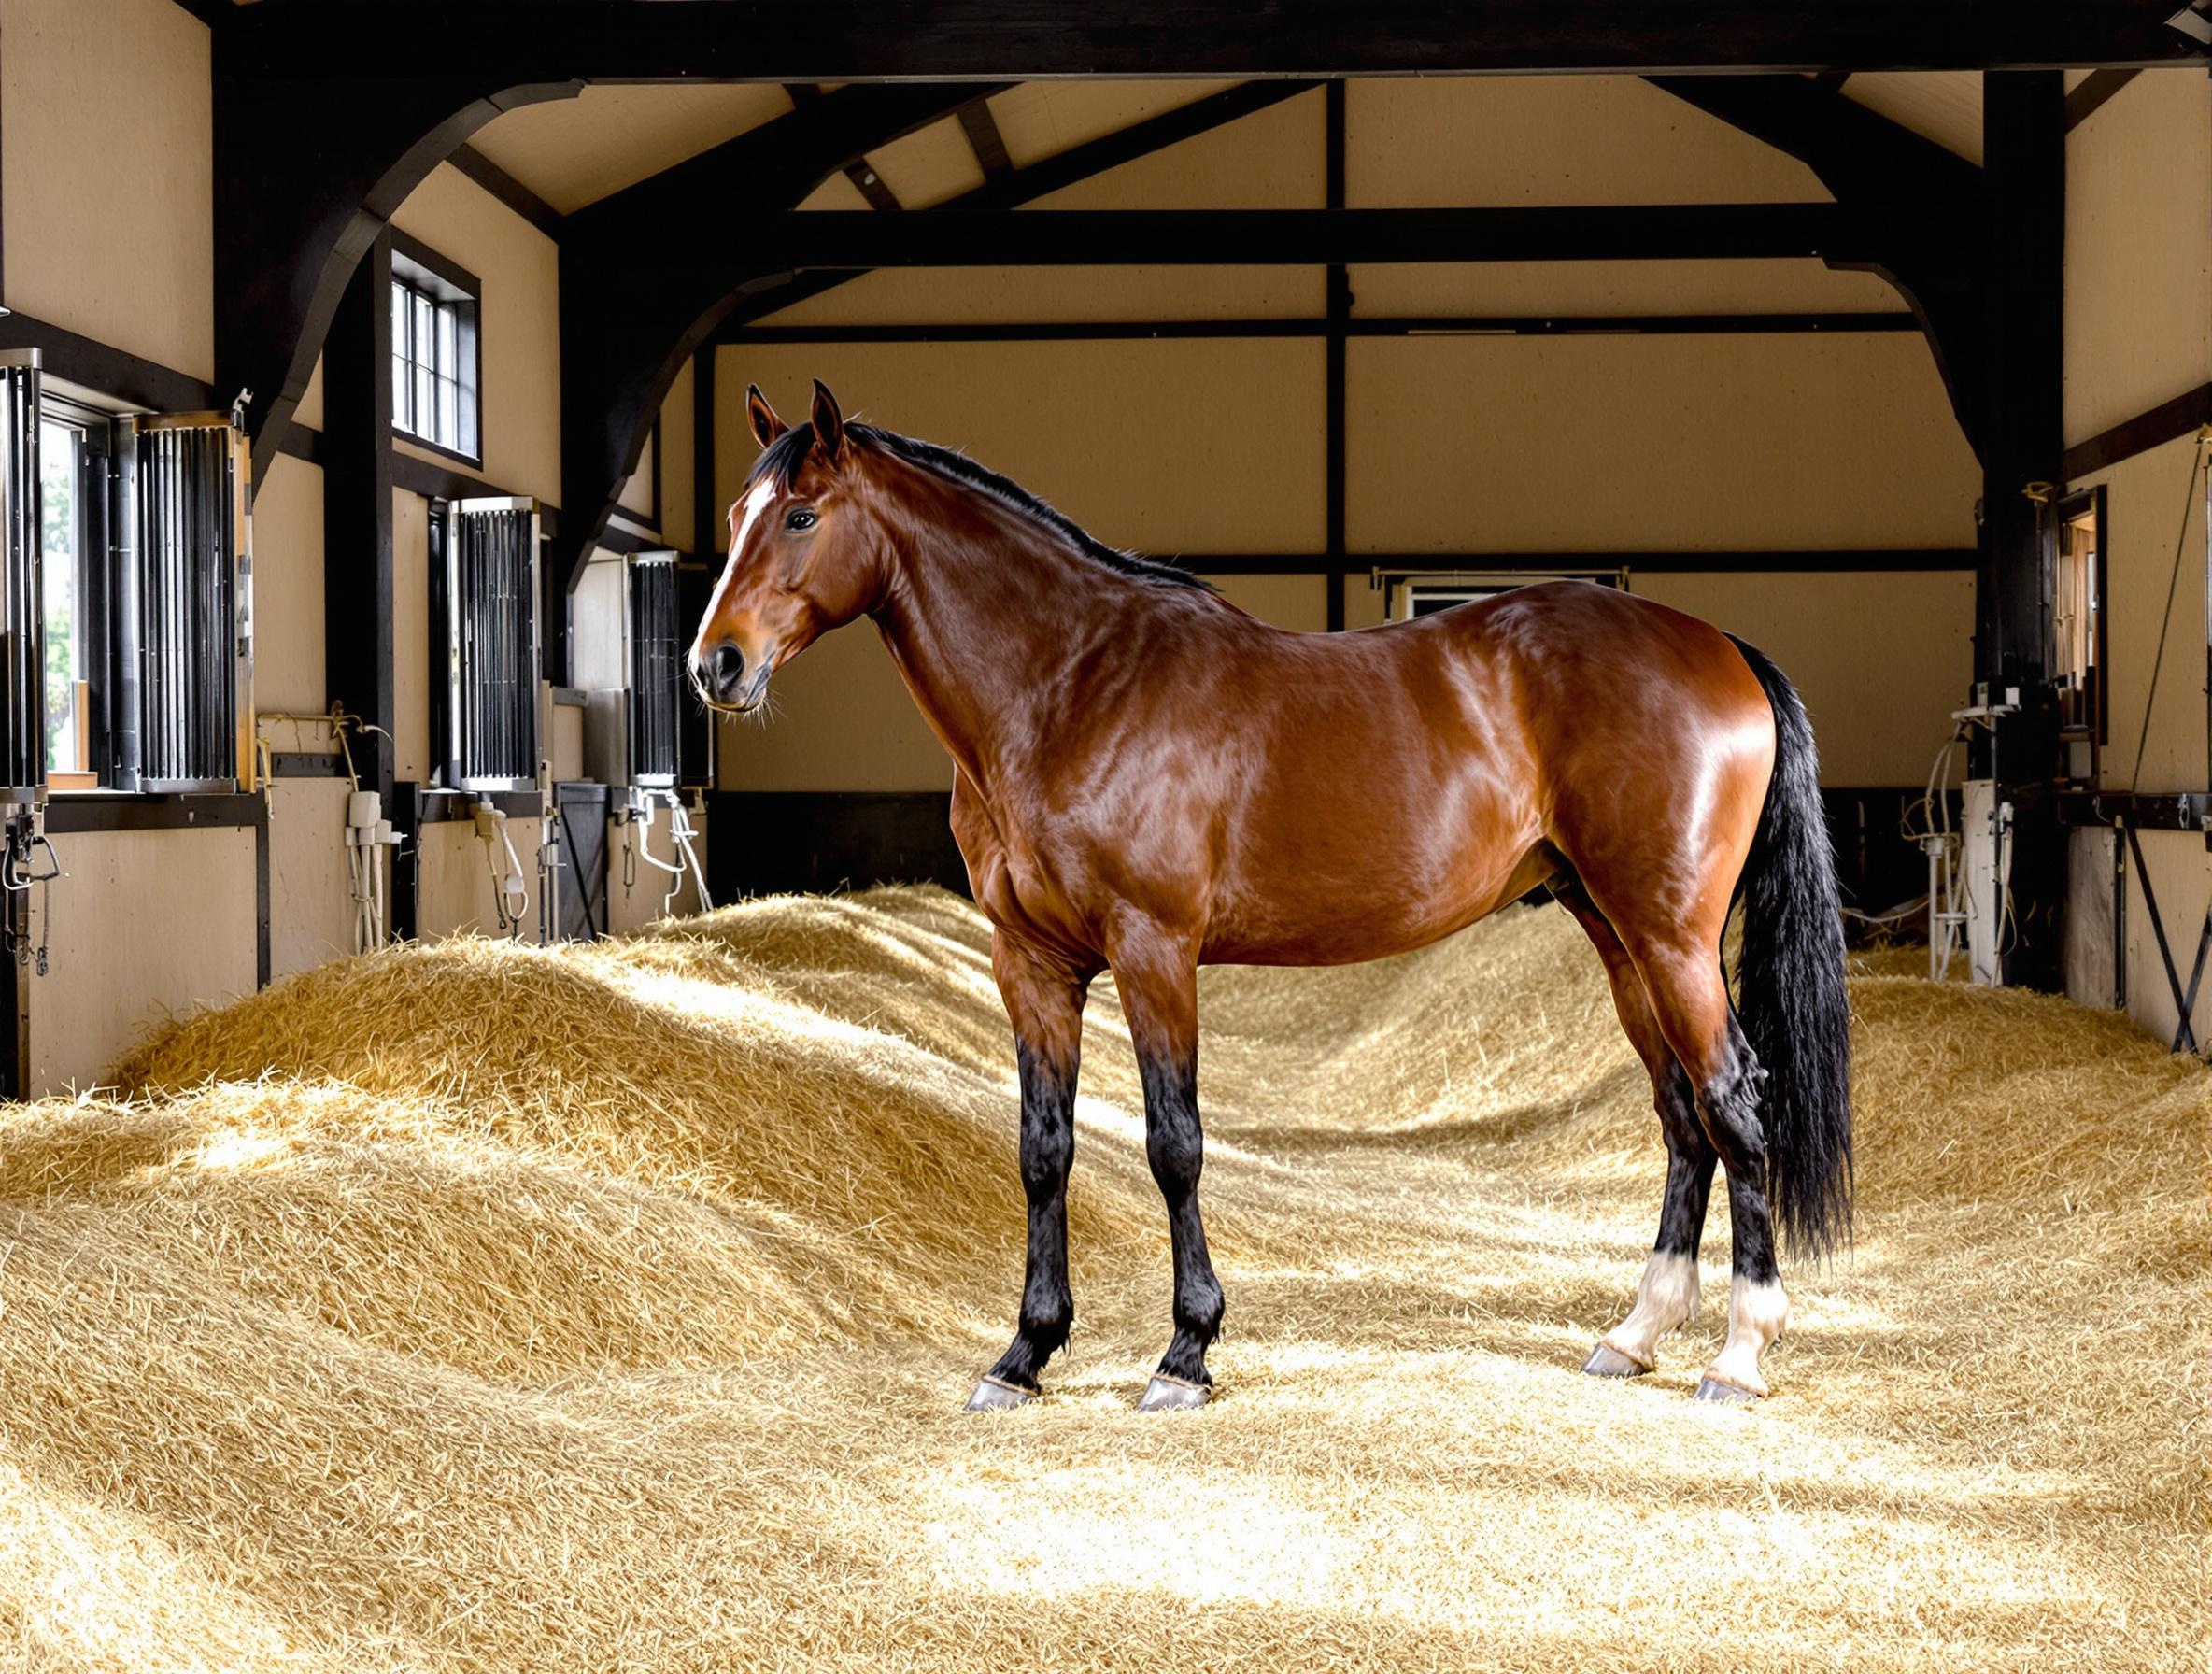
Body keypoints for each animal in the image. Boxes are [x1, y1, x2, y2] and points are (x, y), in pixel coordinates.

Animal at [686, 382, 1849, 1406]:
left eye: (800, 514)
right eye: (735, 517)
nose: (715, 667)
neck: (1071, 688)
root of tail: (1719, 646)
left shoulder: (1154, 950)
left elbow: (1174, 1144)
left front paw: (1185, 1354)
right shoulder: (1032, 963)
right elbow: (1042, 1150)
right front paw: (1023, 1355)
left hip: (1671, 940)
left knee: (1733, 1102)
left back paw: (1738, 1355)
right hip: (1616, 935)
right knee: (1681, 1118)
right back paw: (1634, 1334)